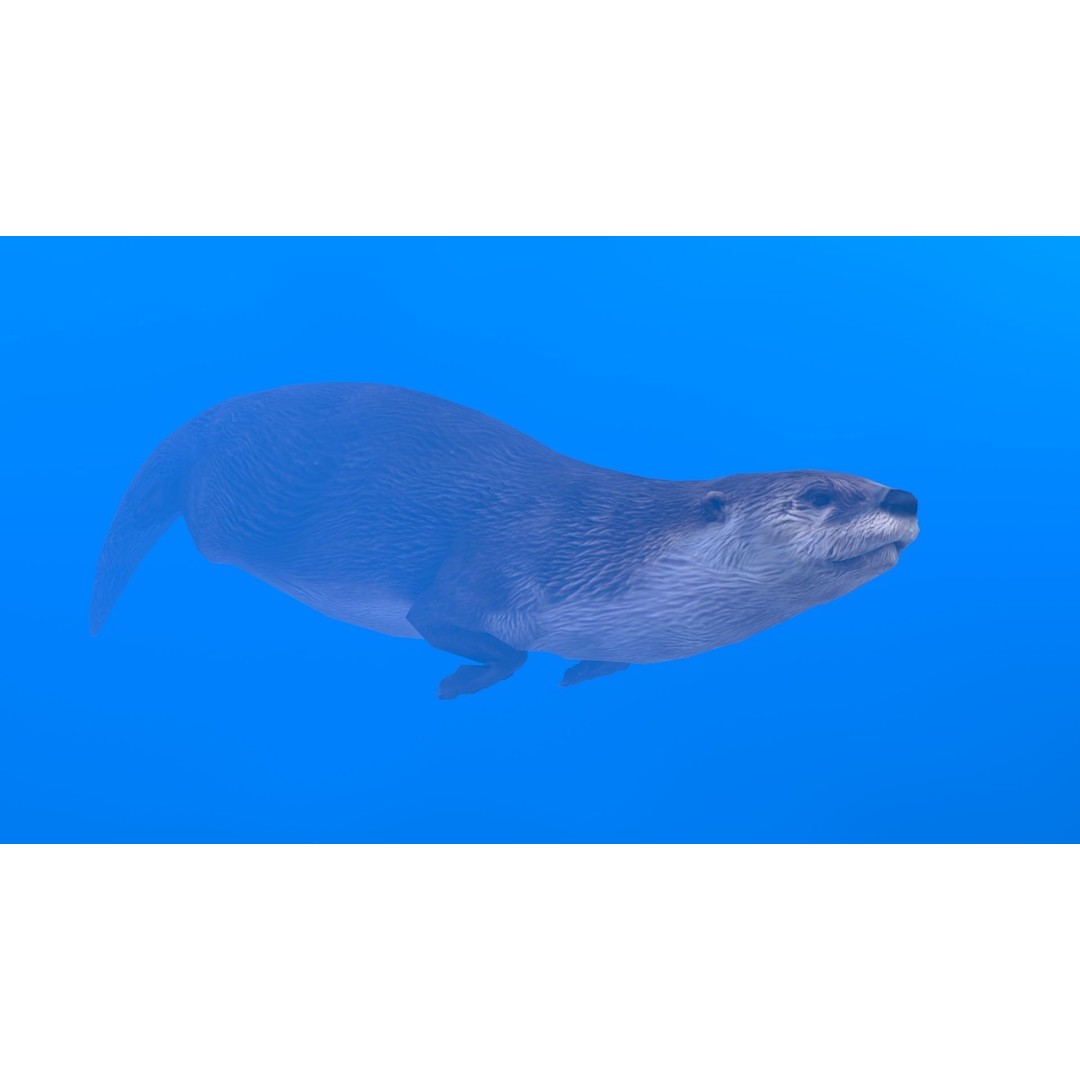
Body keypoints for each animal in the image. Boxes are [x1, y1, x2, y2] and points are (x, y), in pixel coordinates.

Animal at [90, 383, 919, 699]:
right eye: (819, 495)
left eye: (869, 478)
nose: (906, 496)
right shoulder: (497, 564)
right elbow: (471, 634)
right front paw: (464, 681)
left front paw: (582, 672)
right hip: (240, 504)